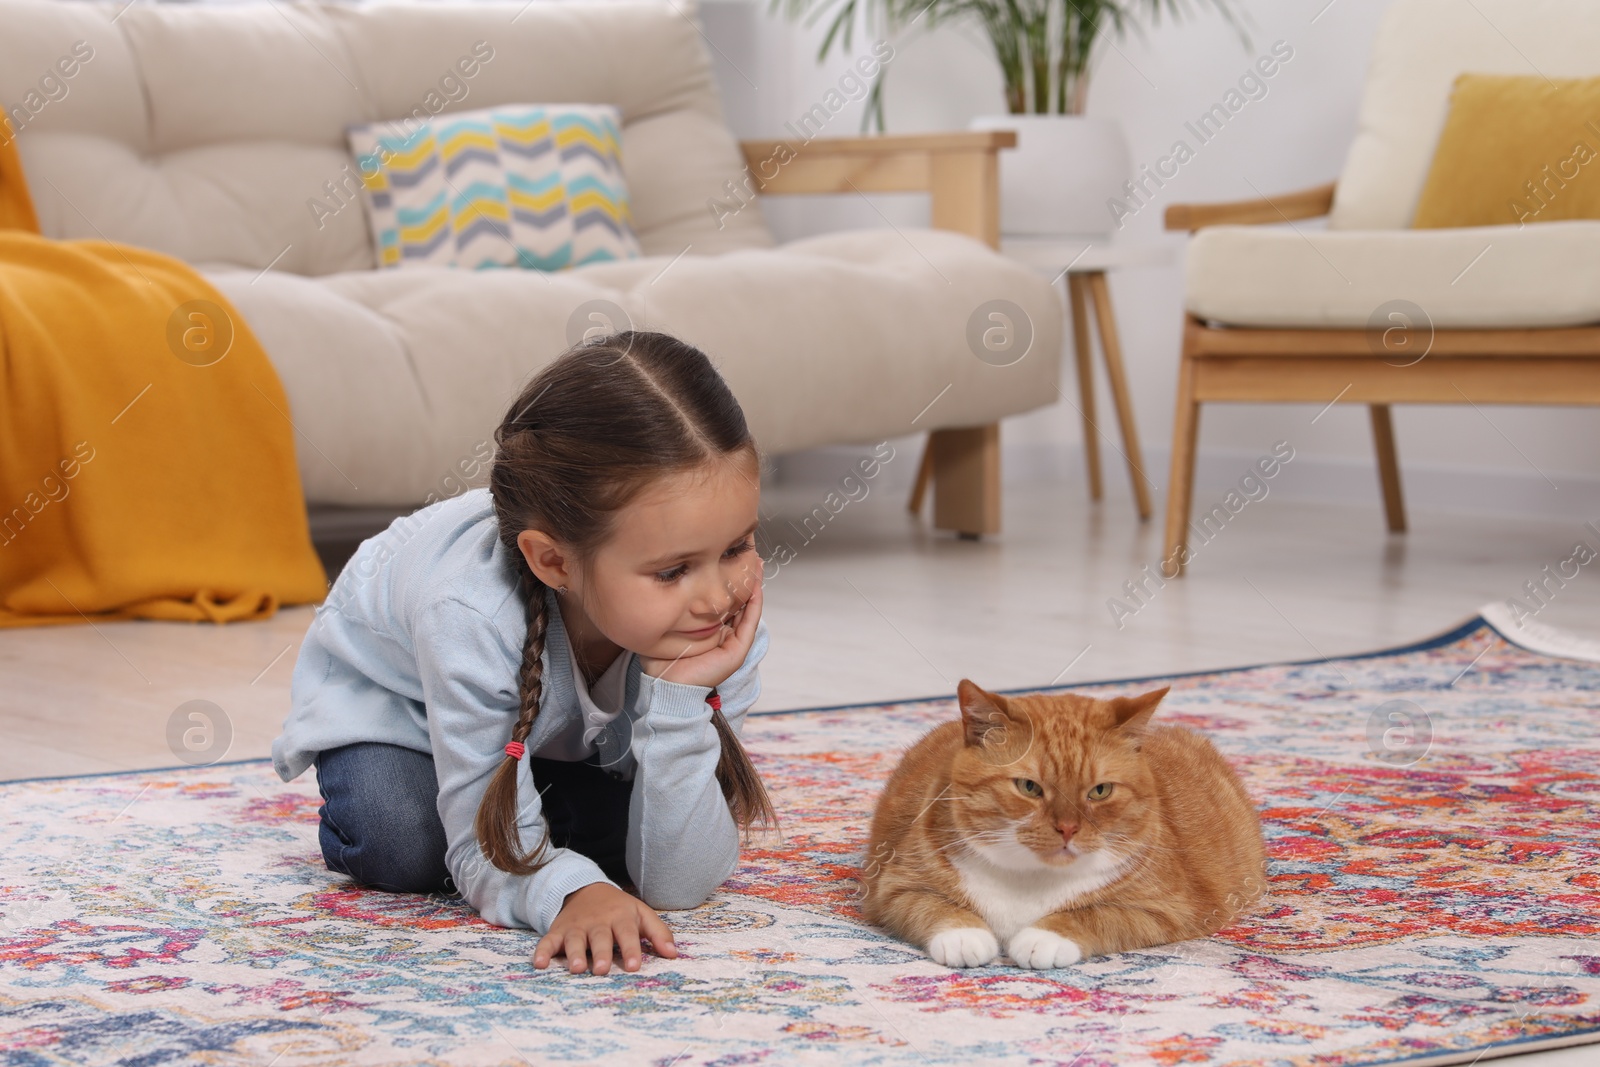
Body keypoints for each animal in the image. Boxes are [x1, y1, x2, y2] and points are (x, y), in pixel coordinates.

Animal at [864, 684, 1260, 966]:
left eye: (1100, 791)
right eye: (1029, 787)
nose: (1068, 828)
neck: (1030, 878)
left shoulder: (1170, 909)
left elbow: (1097, 916)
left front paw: (1044, 938)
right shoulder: (893, 889)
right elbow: (934, 907)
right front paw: (964, 936)